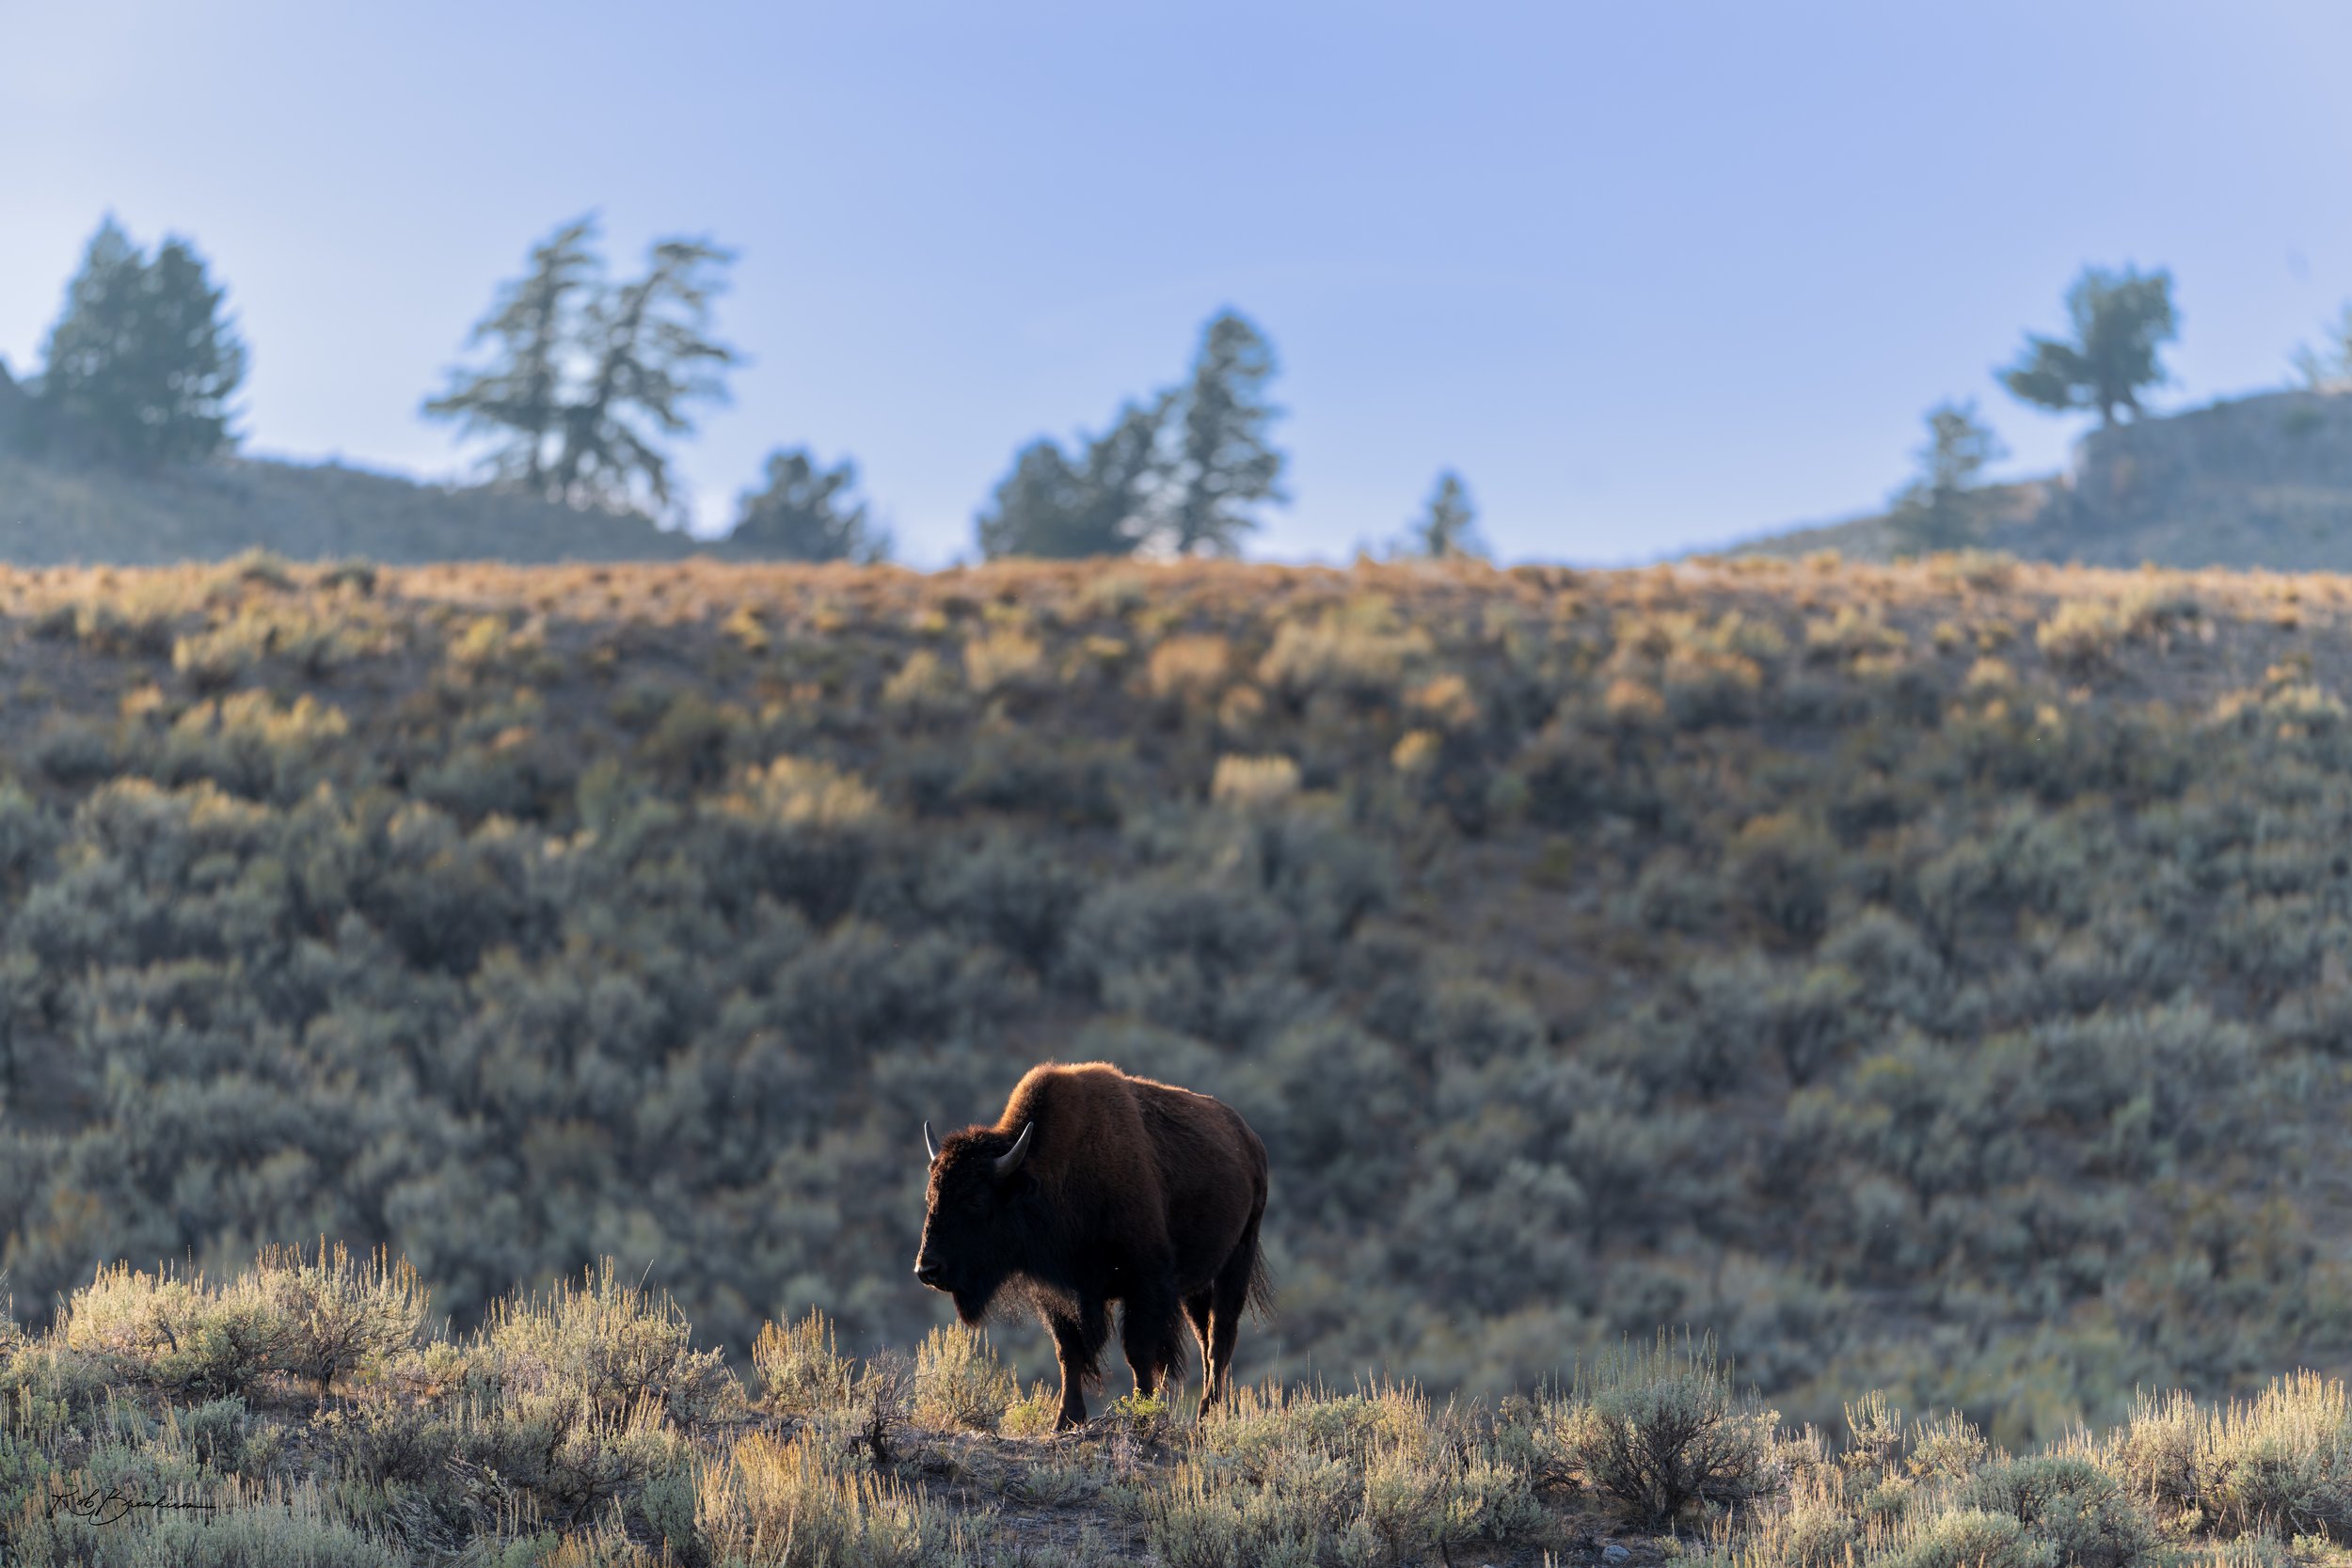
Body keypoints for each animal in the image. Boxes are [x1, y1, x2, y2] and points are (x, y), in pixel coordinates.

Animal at [914, 1060, 1271, 1428]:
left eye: (975, 1199)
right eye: (931, 1196)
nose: (927, 1269)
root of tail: (1252, 1142)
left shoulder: (1145, 1283)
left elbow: (1137, 1351)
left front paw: (1141, 1413)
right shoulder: (1059, 1296)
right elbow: (1068, 1352)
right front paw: (1066, 1420)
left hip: (1236, 1263)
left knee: (1220, 1339)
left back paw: (1207, 1417)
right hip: (1196, 1288)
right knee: (1205, 1340)